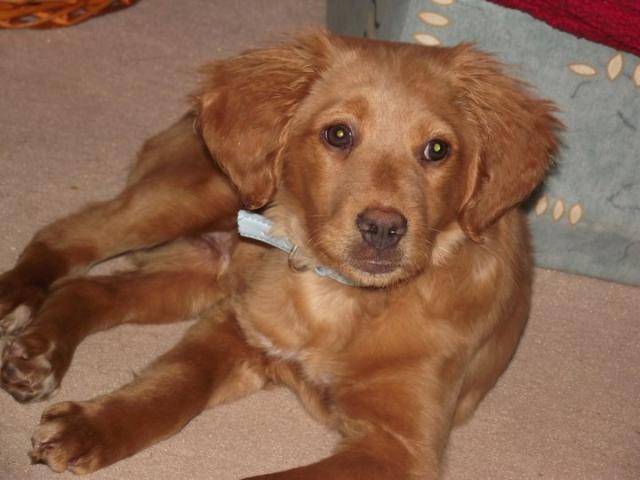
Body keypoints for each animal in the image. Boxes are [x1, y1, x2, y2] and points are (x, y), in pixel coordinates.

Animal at [0, 32, 560, 478]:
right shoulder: (234, 326)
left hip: (197, 278)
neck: (342, 301)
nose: (383, 229)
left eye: (437, 150)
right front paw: (92, 427)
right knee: (69, 236)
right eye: (338, 134)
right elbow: (172, 384)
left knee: (93, 286)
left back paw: (40, 350)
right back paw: (19, 305)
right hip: (193, 199)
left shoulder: (399, 447)